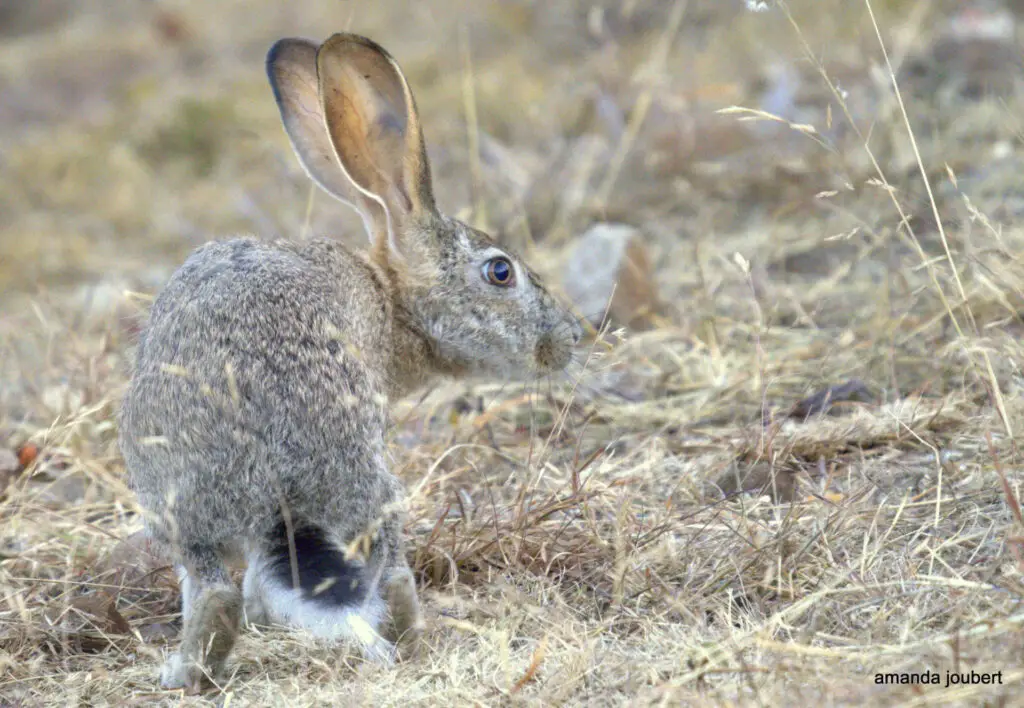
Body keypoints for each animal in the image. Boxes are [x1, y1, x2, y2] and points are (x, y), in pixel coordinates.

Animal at [118, 31, 582, 692]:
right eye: (500, 272)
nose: (568, 338)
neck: (388, 300)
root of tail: (280, 482)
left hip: (185, 508)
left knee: (221, 593)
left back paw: (184, 673)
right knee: (381, 575)